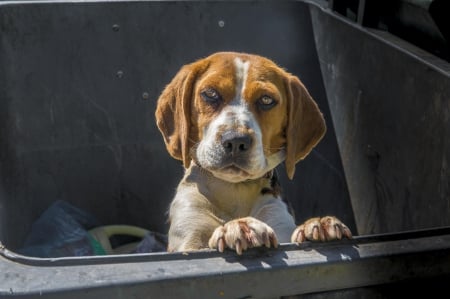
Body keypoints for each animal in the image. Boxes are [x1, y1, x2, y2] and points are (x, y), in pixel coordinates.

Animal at [155, 52, 352, 255]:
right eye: (210, 94)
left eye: (266, 100)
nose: (235, 140)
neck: (233, 190)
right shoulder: (188, 240)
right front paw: (239, 227)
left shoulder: (278, 220)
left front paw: (317, 225)